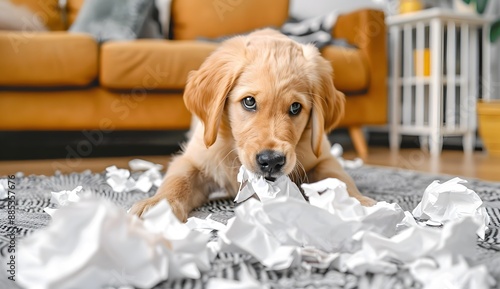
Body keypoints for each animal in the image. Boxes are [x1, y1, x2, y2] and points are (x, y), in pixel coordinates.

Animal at [132, 28, 376, 219]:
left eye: (295, 107)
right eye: (249, 101)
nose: (272, 161)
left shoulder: (321, 155)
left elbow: (339, 177)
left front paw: (359, 203)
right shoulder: (195, 158)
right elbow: (178, 180)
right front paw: (156, 206)